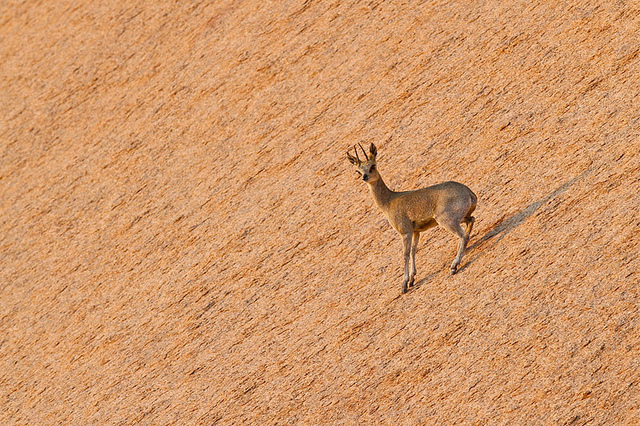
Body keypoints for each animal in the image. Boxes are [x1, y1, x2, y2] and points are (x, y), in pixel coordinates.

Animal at [348, 143, 478, 292]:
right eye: (358, 171)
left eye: (372, 166)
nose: (364, 177)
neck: (388, 202)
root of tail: (470, 193)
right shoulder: (416, 231)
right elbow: (413, 251)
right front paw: (412, 279)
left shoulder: (405, 232)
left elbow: (405, 254)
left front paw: (404, 285)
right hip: (461, 217)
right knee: (471, 221)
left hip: (446, 220)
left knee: (464, 235)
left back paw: (454, 266)